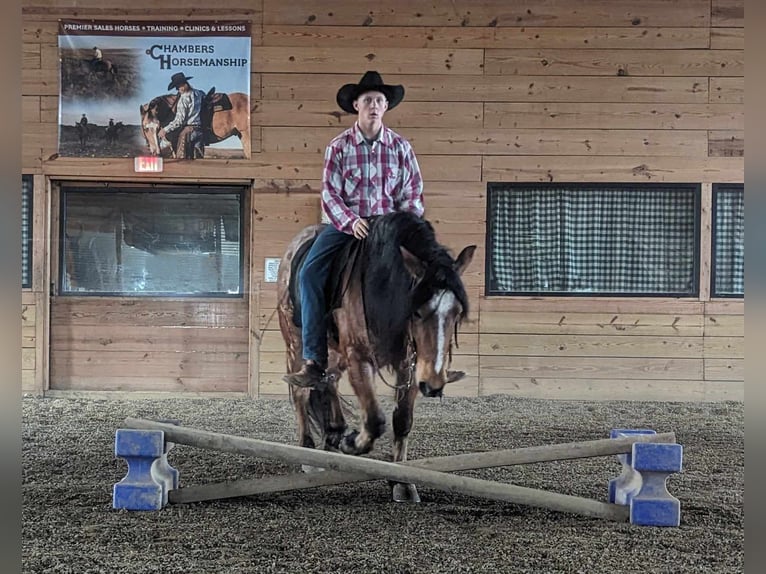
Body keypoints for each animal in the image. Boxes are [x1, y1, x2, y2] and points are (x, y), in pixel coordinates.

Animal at [280, 213, 476, 504]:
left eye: (457, 313)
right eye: (417, 312)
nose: (433, 385)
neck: (382, 285)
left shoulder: (411, 364)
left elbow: (402, 420)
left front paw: (402, 483)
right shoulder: (359, 358)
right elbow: (374, 419)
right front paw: (352, 443)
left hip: (335, 351)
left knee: (329, 380)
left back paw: (335, 431)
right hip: (296, 343)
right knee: (302, 393)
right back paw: (309, 452)